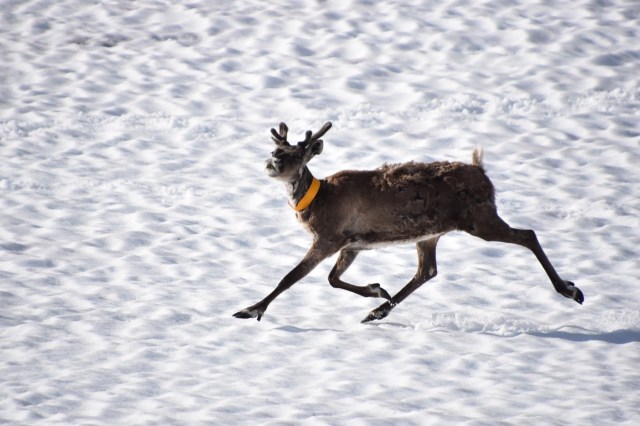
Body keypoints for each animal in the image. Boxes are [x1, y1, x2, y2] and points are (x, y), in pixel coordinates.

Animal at [233, 122, 584, 323]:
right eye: (276, 147)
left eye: (298, 153)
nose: (273, 161)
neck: (318, 201)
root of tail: (482, 170)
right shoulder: (352, 244)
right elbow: (332, 279)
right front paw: (377, 290)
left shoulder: (328, 239)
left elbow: (291, 277)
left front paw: (251, 310)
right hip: (430, 234)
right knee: (427, 271)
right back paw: (378, 311)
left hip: (480, 220)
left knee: (528, 234)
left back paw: (570, 290)